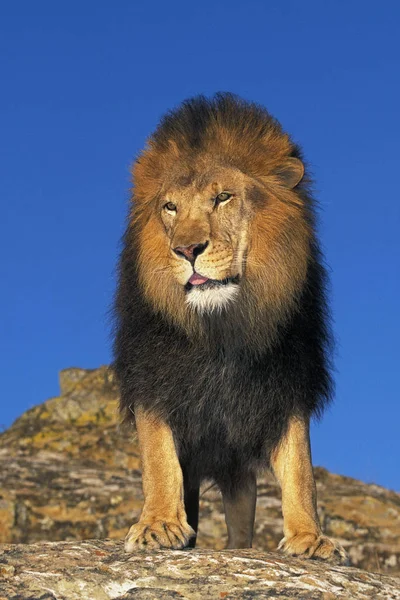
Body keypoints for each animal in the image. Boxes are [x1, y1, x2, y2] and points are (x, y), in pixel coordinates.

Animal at [112, 92, 346, 564]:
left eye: (222, 197)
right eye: (170, 207)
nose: (187, 249)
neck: (222, 330)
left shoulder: (286, 384)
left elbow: (301, 469)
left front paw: (309, 537)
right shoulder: (154, 377)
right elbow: (158, 458)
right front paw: (158, 525)